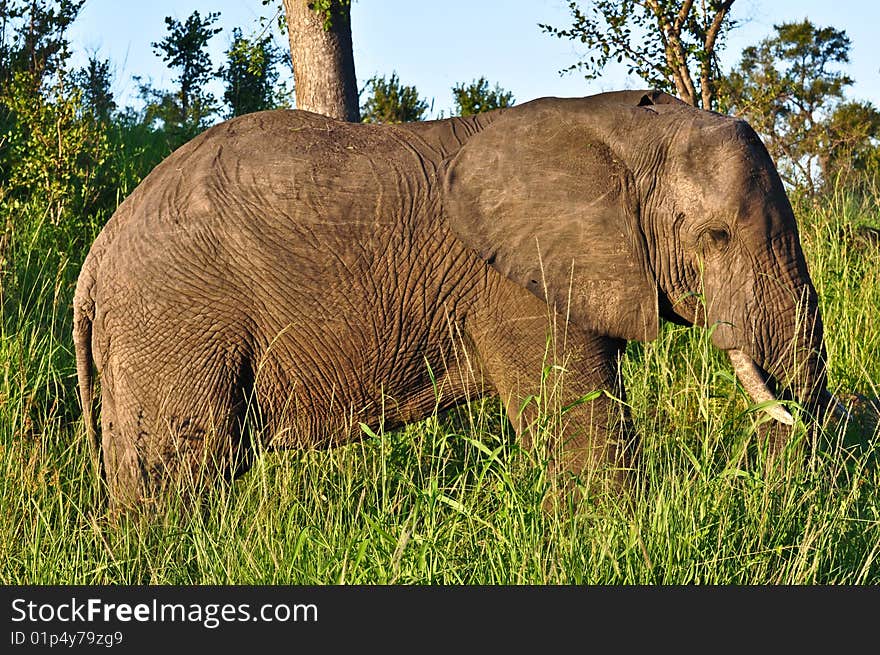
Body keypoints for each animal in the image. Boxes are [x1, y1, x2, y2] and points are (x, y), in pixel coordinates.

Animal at [72, 87, 844, 510]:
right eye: (716, 236)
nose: (779, 446)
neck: (620, 128)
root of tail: (94, 262)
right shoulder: (515, 283)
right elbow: (582, 425)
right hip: (174, 316)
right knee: (178, 475)